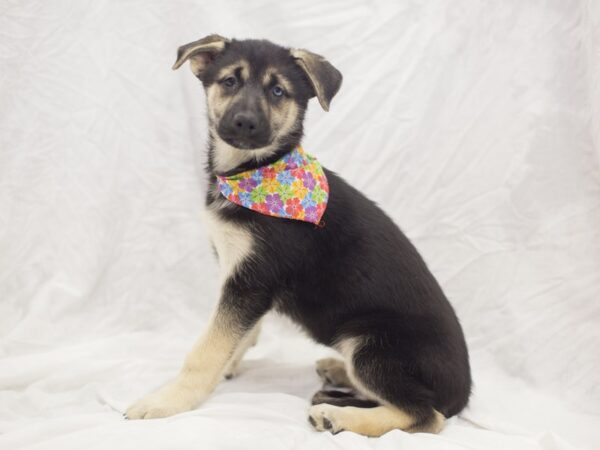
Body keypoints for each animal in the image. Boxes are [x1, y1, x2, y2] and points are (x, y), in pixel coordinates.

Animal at [125, 35, 474, 436]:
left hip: (373, 344)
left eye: (278, 91)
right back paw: (337, 373)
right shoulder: (242, 280)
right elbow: (241, 334)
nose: (245, 122)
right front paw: (227, 367)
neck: (255, 171)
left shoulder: (250, 282)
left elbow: (207, 348)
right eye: (229, 81)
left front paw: (167, 400)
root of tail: (462, 394)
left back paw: (336, 414)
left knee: (426, 416)